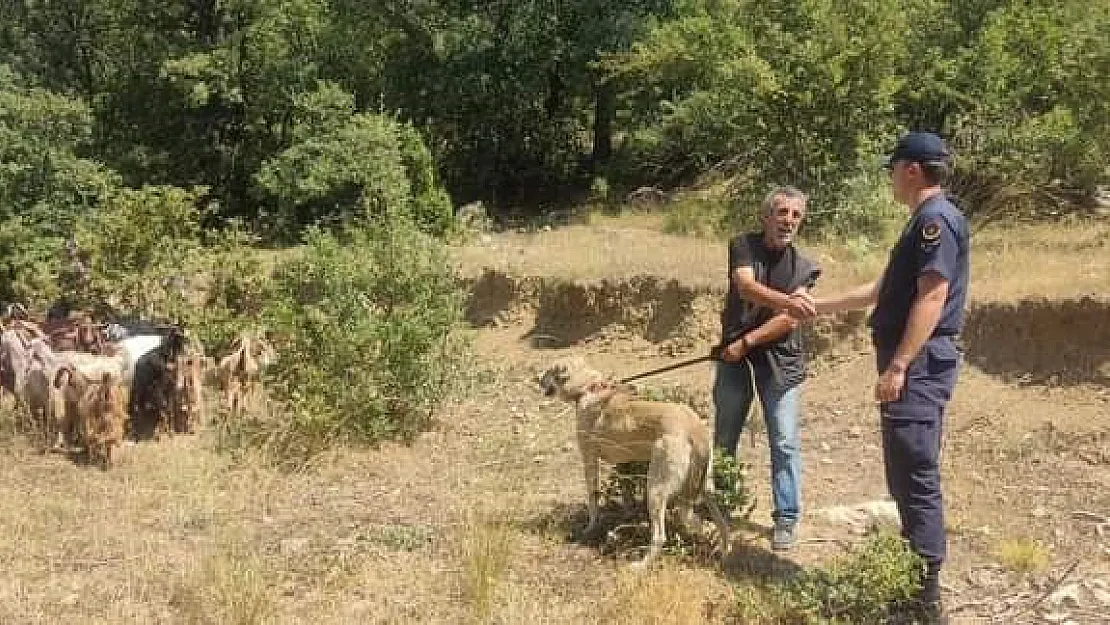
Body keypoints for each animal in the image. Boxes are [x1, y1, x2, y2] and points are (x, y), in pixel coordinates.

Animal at [537, 357, 728, 568]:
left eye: (549, 371)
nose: (536, 378)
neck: (588, 388)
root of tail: (695, 428)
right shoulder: (624, 463)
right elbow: (626, 494)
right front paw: (625, 515)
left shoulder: (589, 459)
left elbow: (593, 499)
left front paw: (590, 528)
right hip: (706, 487)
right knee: (715, 524)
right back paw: (721, 551)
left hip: (655, 489)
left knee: (661, 535)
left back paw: (642, 565)